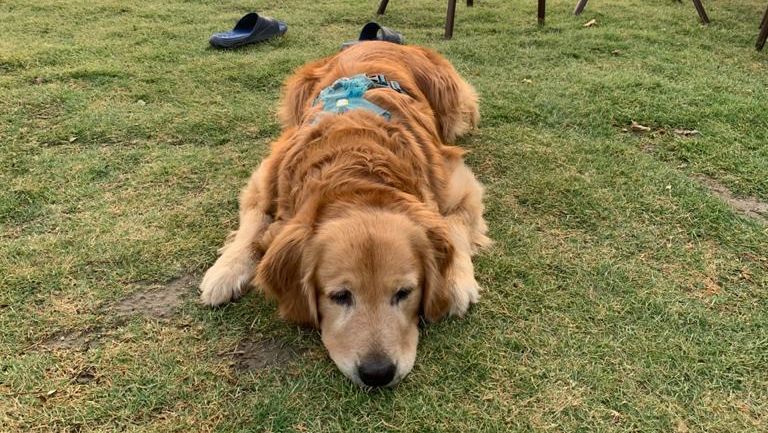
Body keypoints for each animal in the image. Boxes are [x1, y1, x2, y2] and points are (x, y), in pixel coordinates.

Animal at [198, 41, 486, 388]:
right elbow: (252, 222)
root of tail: (378, 40)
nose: (378, 373)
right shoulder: (266, 176)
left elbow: (454, 226)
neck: (354, 165)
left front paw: (456, 280)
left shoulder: (456, 181)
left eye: (404, 293)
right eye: (340, 296)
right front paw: (224, 272)